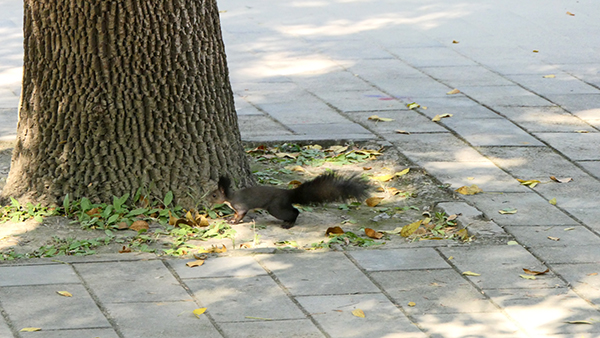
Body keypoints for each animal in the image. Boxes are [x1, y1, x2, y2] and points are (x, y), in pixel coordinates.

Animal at [207, 172, 370, 230]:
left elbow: (240, 214)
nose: (207, 199)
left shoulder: (240, 206)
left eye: (214, 195)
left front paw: (234, 221)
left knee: (294, 211)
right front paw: (230, 218)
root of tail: (288, 194)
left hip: (276, 208)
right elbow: (235, 214)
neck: (230, 198)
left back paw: (289, 224)